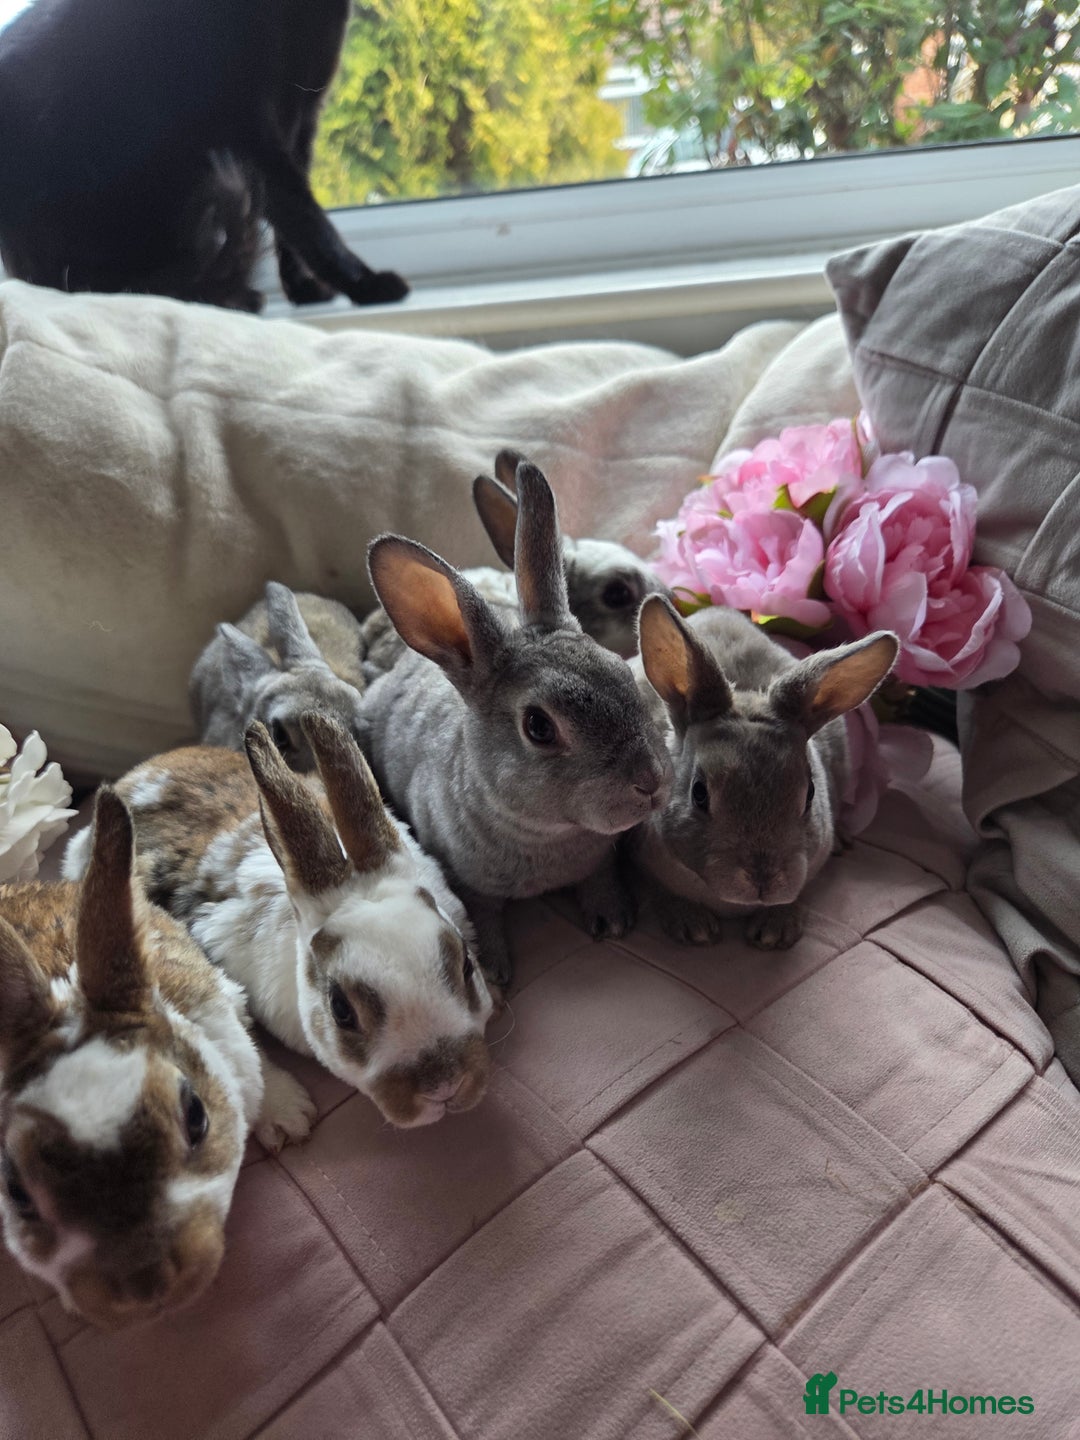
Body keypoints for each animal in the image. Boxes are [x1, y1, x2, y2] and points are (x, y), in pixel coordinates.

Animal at [359, 457, 674, 986]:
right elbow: (480, 915)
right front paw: (494, 968)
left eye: (621, 672)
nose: (649, 781)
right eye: (539, 727)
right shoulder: (465, 879)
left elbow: (600, 875)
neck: (546, 834)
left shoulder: (600, 860)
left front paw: (612, 918)